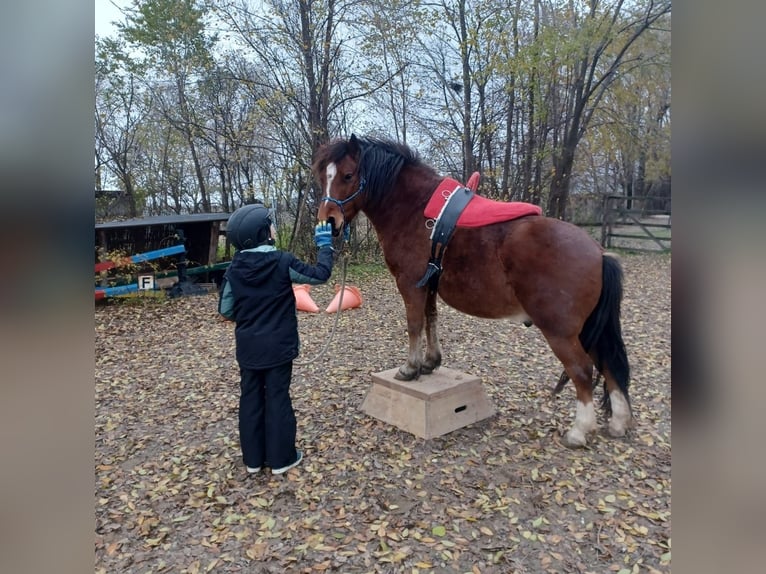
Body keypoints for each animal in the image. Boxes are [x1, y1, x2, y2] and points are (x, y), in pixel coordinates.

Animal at [316, 136, 632, 450]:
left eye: (348, 175)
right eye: (323, 176)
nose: (329, 221)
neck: (414, 209)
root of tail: (599, 252)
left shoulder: (410, 284)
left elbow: (414, 324)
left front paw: (410, 368)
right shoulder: (429, 286)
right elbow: (431, 320)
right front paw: (430, 362)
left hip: (561, 332)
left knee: (582, 369)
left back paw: (579, 431)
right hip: (588, 328)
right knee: (607, 364)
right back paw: (617, 423)